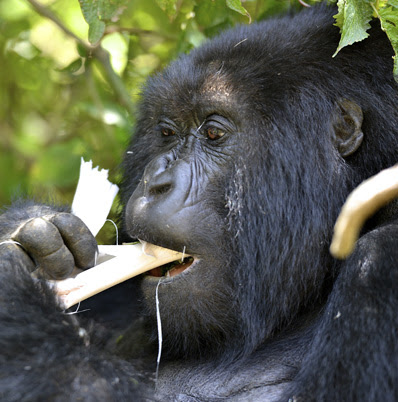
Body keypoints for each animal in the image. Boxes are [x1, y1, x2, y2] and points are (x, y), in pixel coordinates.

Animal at [0, 3, 398, 402]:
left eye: (213, 133)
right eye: (166, 132)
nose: (155, 183)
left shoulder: (381, 258)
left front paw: (14, 289)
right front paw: (39, 232)